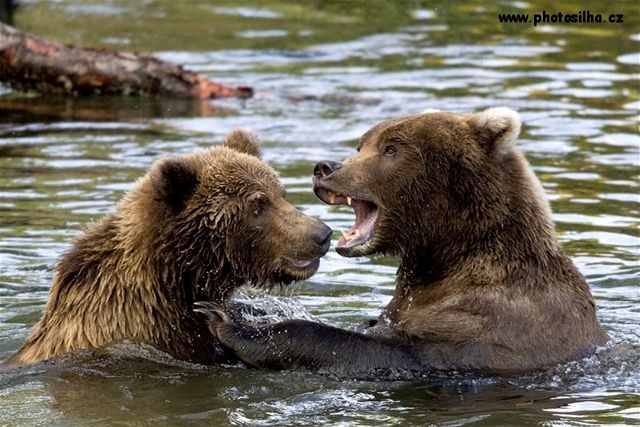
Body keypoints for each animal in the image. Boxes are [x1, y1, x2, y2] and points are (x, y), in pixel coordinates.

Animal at [202, 107, 608, 378]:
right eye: (362, 144)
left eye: (392, 149)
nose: (325, 167)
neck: (449, 254)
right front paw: (237, 309)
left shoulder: (492, 323)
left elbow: (385, 351)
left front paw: (233, 325)